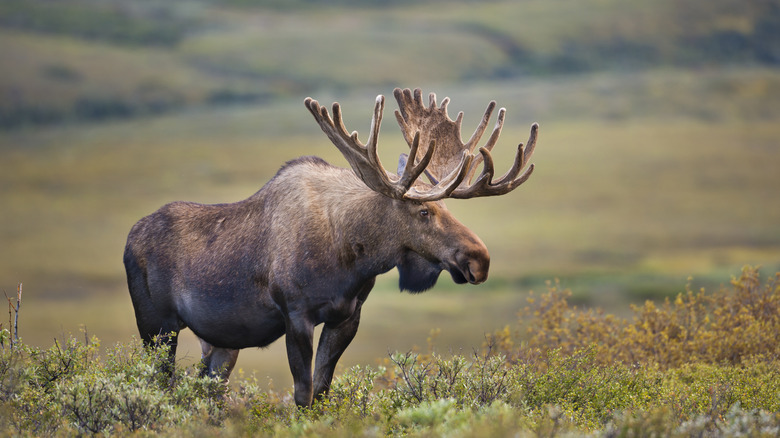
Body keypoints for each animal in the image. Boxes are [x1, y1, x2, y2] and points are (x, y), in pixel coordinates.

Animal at [123, 88, 536, 408]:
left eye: (447, 208)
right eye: (423, 211)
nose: (479, 259)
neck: (351, 256)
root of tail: (129, 238)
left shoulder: (347, 316)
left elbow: (322, 390)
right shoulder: (296, 314)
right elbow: (302, 393)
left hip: (220, 342)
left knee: (205, 388)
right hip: (156, 326)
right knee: (159, 384)